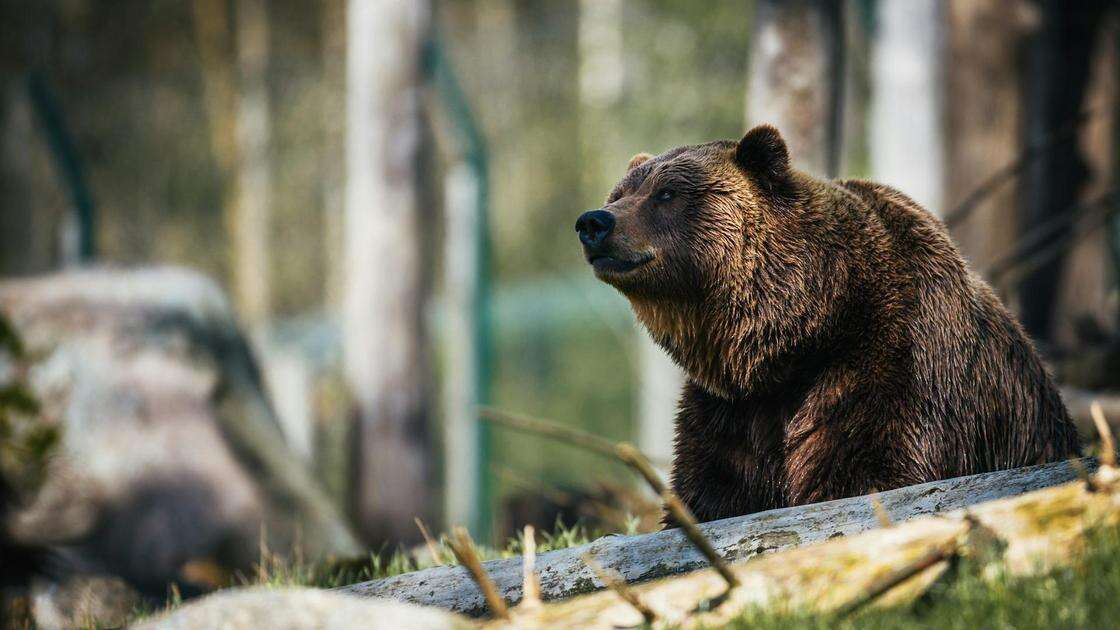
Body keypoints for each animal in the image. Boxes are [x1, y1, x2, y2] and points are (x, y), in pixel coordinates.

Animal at [573, 122, 1079, 520]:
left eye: (667, 193)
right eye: (620, 193)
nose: (594, 222)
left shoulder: (892, 362)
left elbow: (867, 470)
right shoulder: (732, 410)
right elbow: (712, 491)